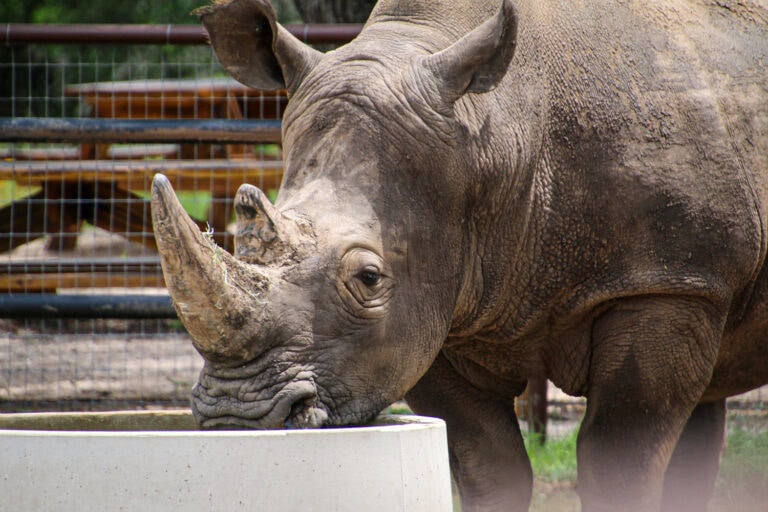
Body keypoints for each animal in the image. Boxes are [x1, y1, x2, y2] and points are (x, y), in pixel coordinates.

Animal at [150, 0, 768, 510]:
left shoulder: (668, 282)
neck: (493, 132)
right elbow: (487, 466)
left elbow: (616, 464)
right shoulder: (437, 306)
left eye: (369, 278)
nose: (238, 415)